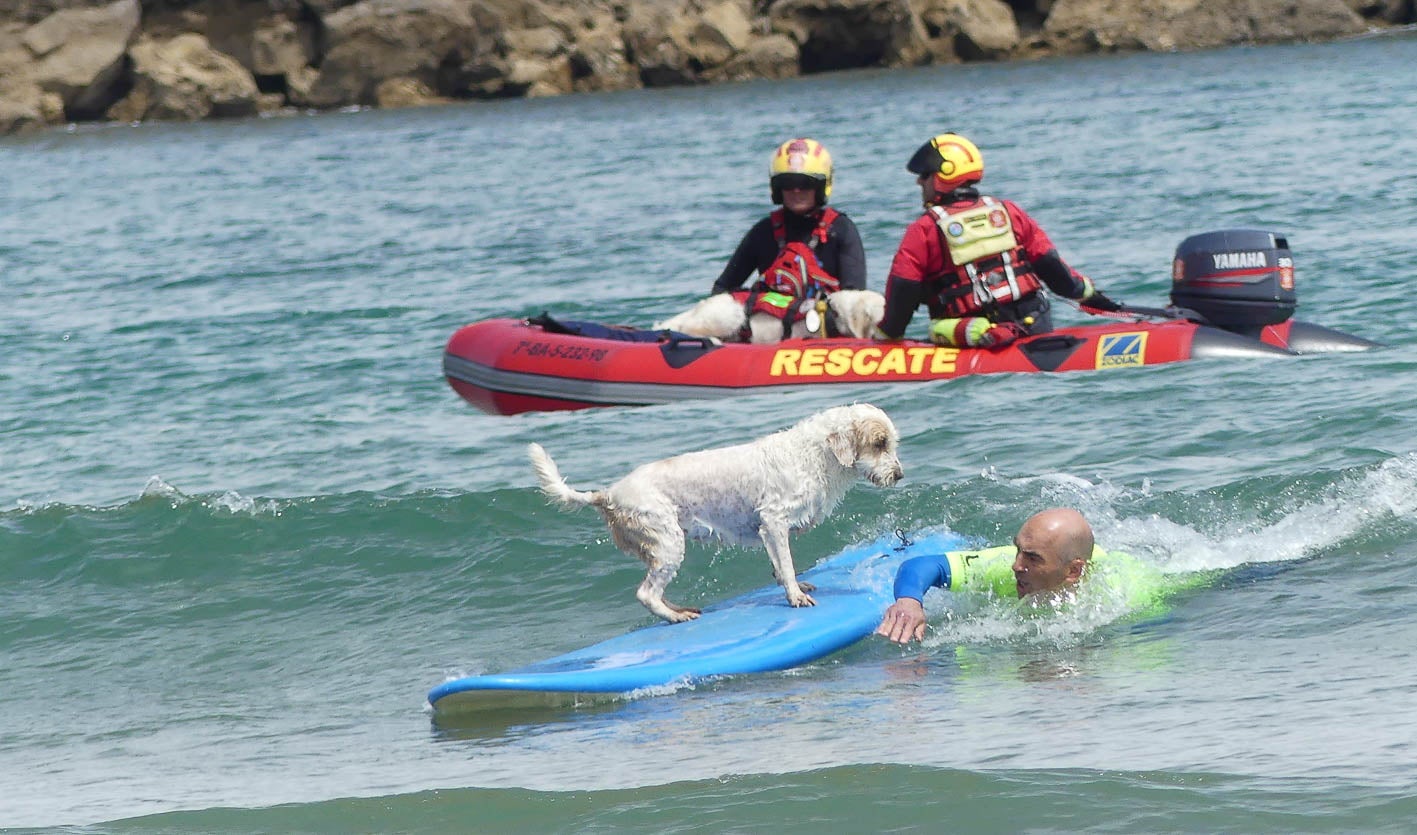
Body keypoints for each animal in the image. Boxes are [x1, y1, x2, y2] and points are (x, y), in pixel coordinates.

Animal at [527, 399, 901, 620]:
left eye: (891, 443)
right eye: (879, 443)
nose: (898, 475)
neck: (815, 454)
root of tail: (607, 494)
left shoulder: (768, 531)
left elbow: (779, 567)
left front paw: (792, 587)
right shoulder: (774, 521)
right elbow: (788, 565)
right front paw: (795, 596)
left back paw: (677, 607)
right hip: (669, 544)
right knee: (646, 593)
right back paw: (676, 616)